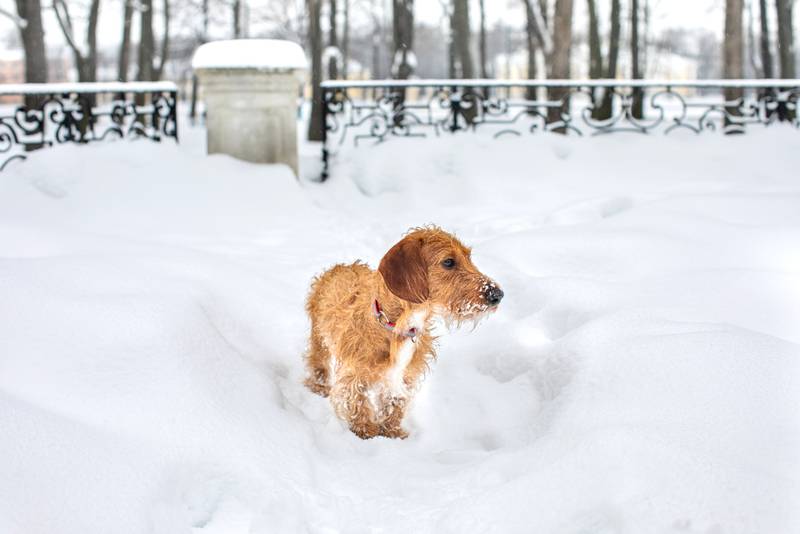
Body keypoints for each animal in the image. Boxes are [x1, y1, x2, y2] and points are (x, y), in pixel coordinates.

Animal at [304, 226, 504, 440]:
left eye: (468, 257)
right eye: (448, 262)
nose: (497, 295)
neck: (398, 327)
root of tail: (340, 267)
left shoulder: (405, 376)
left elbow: (394, 402)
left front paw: (392, 432)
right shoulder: (355, 373)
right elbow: (358, 400)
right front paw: (365, 431)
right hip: (319, 338)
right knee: (317, 362)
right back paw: (319, 386)